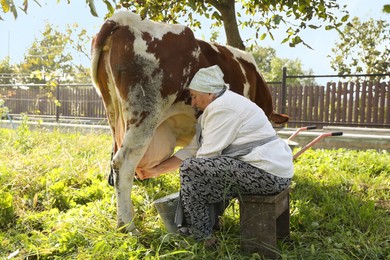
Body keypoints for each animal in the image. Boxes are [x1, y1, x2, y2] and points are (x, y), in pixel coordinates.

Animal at [90, 10, 288, 234]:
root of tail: (122, 19)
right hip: (144, 114)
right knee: (123, 163)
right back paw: (128, 226)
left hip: (115, 117)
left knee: (115, 163)